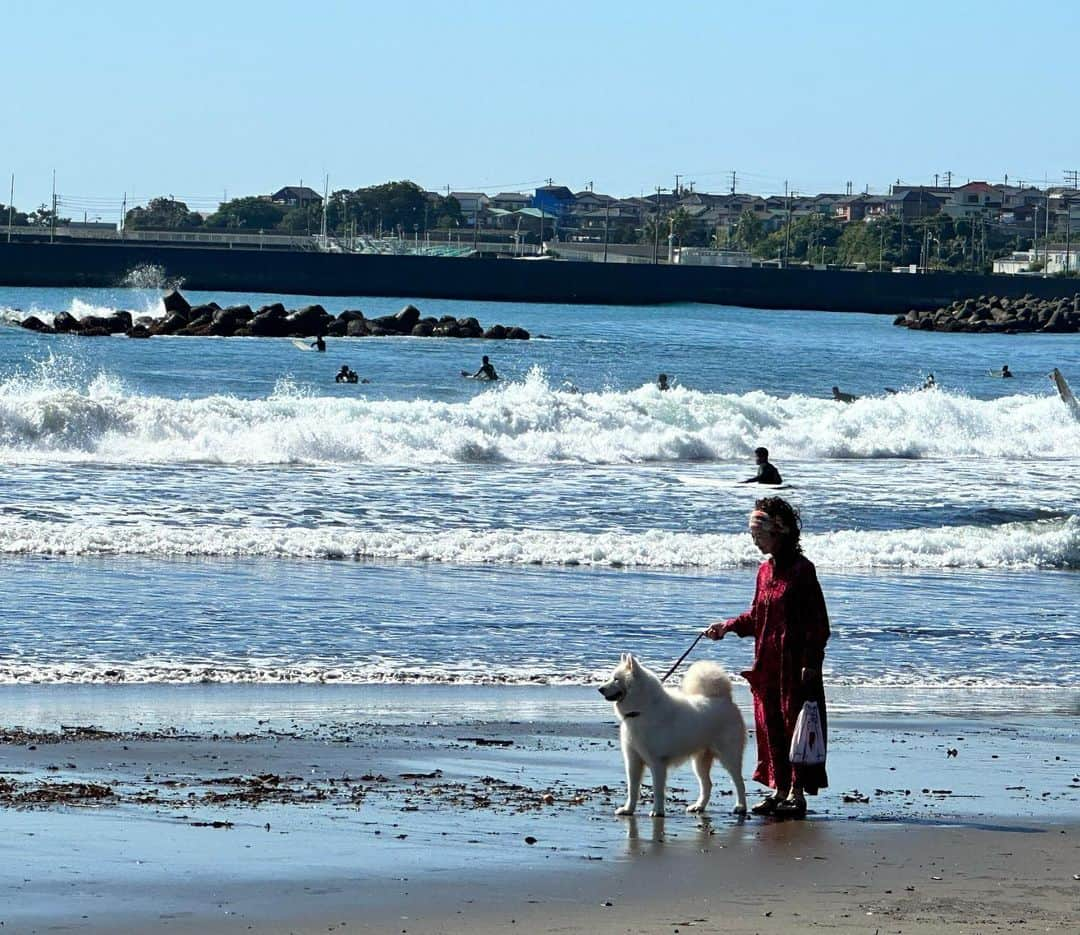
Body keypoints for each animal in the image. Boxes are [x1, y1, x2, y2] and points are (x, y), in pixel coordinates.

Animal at [596, 652, 747, 811]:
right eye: (611, 677)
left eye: (616, 679)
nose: (600, 689)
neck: (641, 710)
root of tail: (725, 699)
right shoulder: (633, 761)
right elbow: (632, 789)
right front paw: (628, 810)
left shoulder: (657, 763)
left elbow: (657, 790)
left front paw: (657, 812)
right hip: (700, 761)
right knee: (708, 785)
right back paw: (698, 806)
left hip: (729, 757)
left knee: (739, 782)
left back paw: (741, 806)